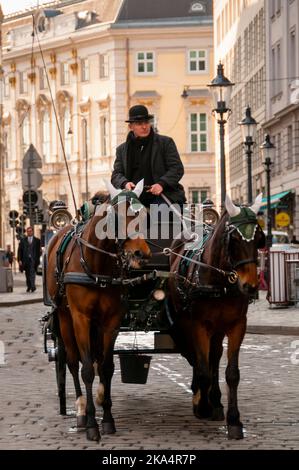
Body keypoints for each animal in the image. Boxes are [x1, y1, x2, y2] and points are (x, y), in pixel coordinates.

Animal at [46, 180, 151, 440]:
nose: (141, 254)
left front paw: (108, 417)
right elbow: (86, 370)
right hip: (64, 319)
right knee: (72, 362)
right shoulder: (81, 319)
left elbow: (106, 366)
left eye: (145, 214)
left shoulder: (111, 321)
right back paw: (81, 411)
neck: (97, 265)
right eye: (118, 217)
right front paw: (93, 423)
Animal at [170, 193, 266, 438]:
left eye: (259, 239)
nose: (251, 287)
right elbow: (203, 368)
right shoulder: (199, 325)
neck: (219, 280)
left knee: (214, 356)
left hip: (218, 329)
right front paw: (202, 406)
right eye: (234, 240)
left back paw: (216, 402)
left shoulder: (237, 325)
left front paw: (233, 420)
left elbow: (231, 373)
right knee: (198, 358)